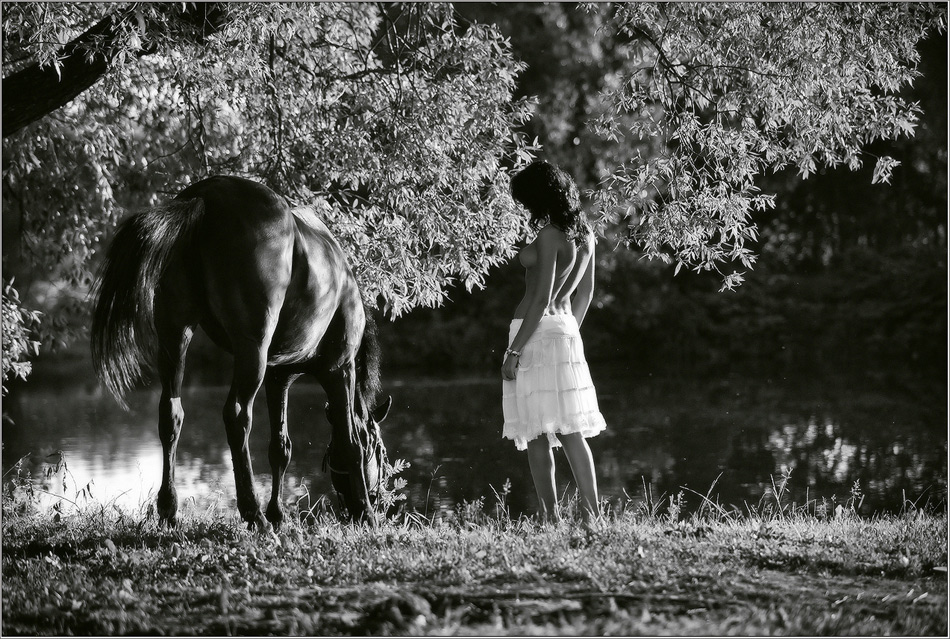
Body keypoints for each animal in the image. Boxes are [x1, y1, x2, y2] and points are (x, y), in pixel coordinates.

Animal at [91, 176, 392, 528]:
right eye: (381, 451)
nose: (379, 500)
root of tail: (204, 196)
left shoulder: (279, 376)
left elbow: (280, 447)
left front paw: (279, 514)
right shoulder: (339, 368)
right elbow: (351, 442)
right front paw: (365, 513)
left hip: (175, 336)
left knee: (171, 413)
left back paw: (169, 509)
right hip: (252, 351)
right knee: (236, 416)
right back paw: (253, 513)